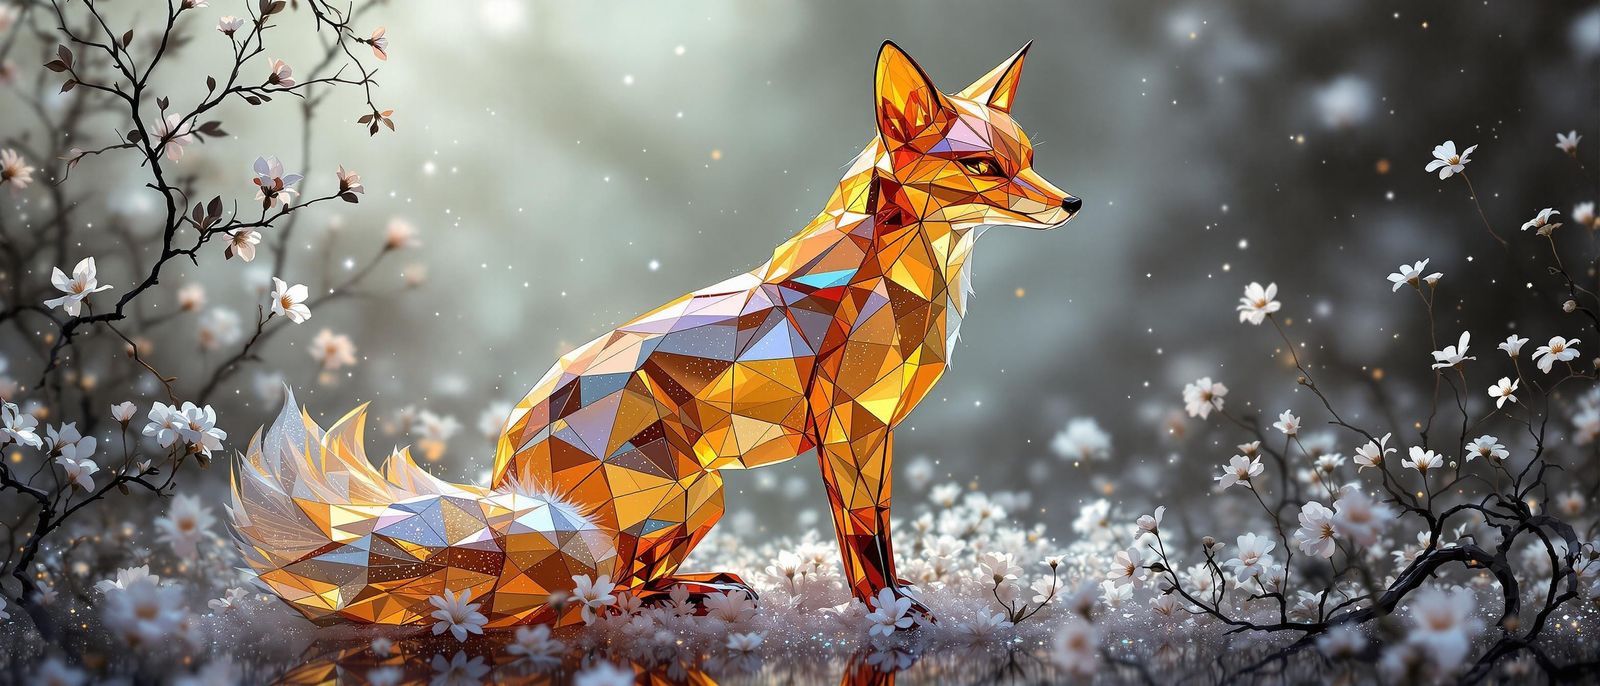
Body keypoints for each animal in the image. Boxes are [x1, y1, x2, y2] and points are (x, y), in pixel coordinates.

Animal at [230, 40, 1079, 629]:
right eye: (982, 166)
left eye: (1028, 157)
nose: (1070, 203)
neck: (900, 279)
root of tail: (510, 477)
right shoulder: (849, 434)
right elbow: (867, 545)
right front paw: (892, 611)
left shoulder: (871, 435)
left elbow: (874, 539)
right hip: (686, 496)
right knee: (597, 598)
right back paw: (692, 595)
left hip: (694, 503)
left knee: (606, 589)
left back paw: (702, 590)